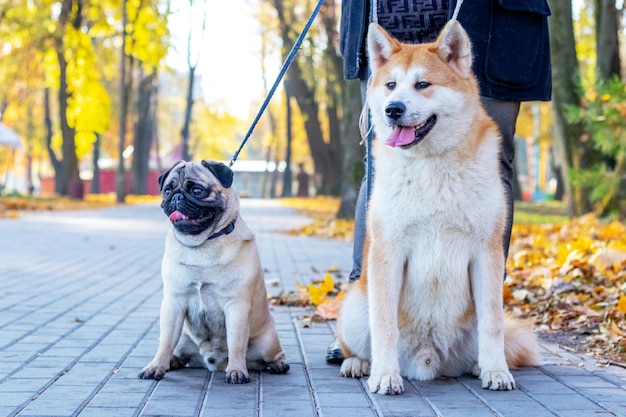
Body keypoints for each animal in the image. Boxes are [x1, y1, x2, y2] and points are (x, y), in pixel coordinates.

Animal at [138, 159, 288, 384]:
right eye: (167, 190)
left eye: (197, 191)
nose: (177, 196)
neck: (202, 243)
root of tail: (212, 363)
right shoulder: (173, 303)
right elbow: (164, 342)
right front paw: (156, 366)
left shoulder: (236, 306)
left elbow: (236, 343)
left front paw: (236, 370)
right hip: (182, 337)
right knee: (177, 349)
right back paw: (172, 361)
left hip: (268, 342)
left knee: (272, 354)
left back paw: (278, 364)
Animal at [334, 21, 540, 394]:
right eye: (390, 85)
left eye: (422, 84)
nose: (393, 109)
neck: (431, 166)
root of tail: (429, 360)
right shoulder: (388, 251)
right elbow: (384, 326)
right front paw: (385, 375)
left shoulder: (486, 253)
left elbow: (492, 324)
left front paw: (496, 371)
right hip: (356, 308)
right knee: (359, 343)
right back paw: (359, 364)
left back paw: (478, 366)